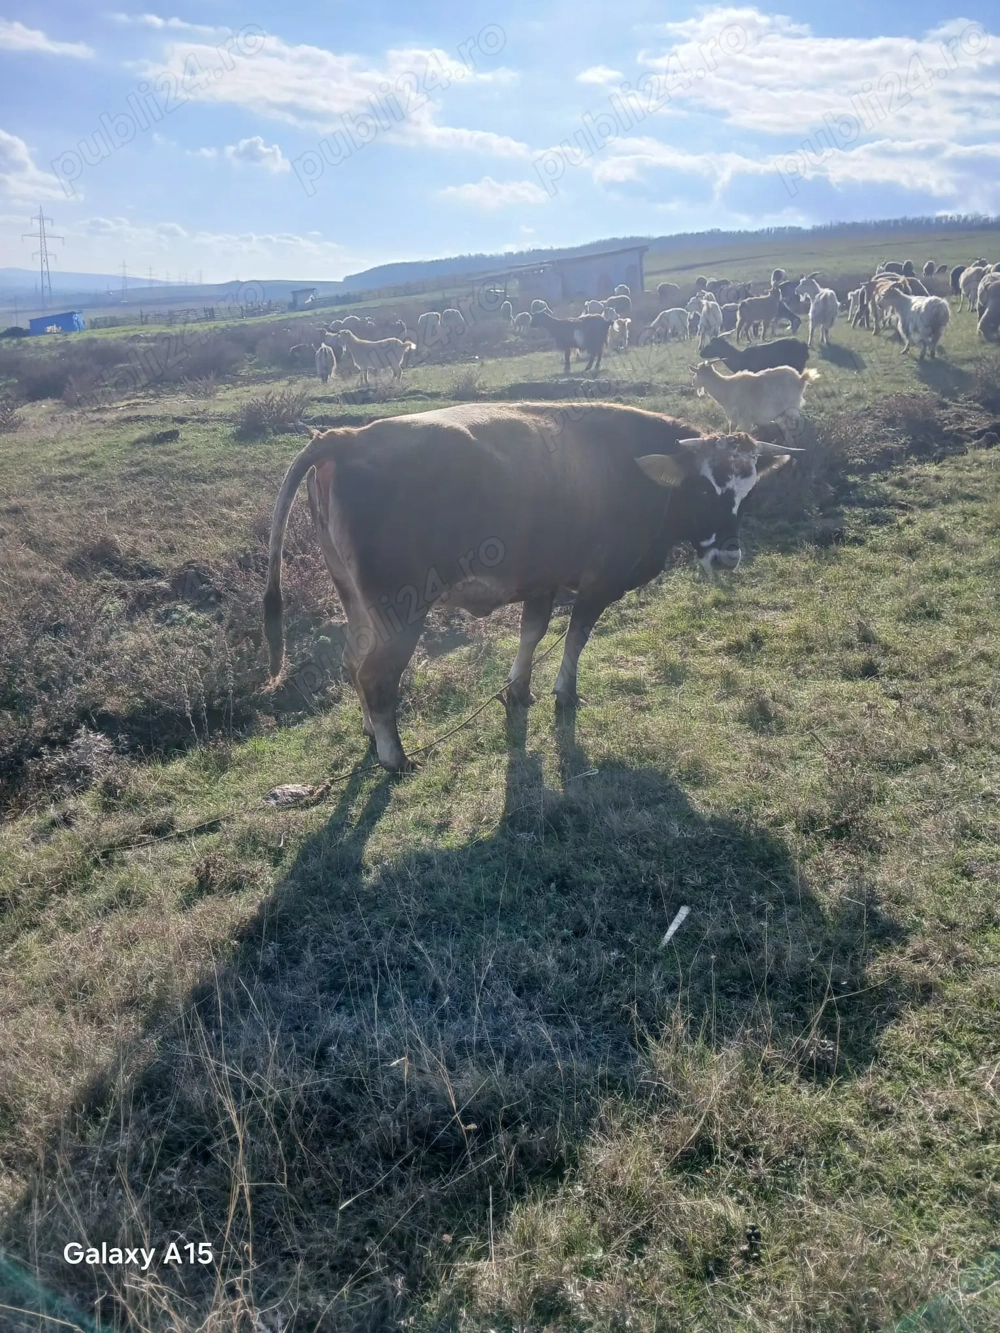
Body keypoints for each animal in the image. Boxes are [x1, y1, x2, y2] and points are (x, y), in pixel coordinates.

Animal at [263, 403, 797, 770]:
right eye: (703, 487)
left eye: (748, 489)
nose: (728, 555)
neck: (637, 473)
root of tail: (347, 436)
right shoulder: (600, 583)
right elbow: (576, 637)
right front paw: (565, 693)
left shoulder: (542, 579)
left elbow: (532, 633)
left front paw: (517, 690)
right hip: (398, 611)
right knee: (376, 676)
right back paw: (395, 758)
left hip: (354, 600)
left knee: (353, 663)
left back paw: (371, 736)